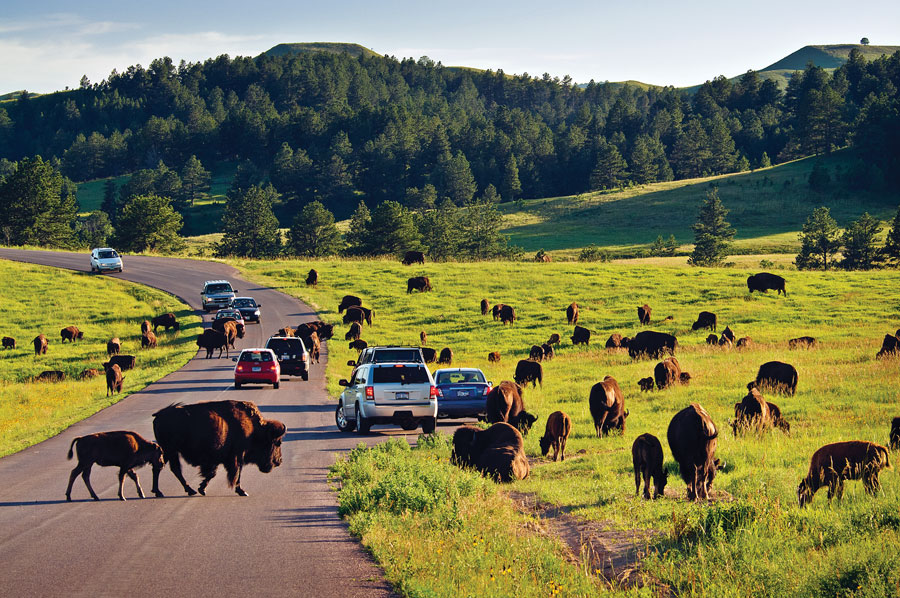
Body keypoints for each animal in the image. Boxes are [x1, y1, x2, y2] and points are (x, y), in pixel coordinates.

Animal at [151, 400, 284, 500]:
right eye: (278, 442)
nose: (279, 461)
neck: (254, 429)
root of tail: (159, 415)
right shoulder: (236, 457)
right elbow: (234, 474)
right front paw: (242, 491)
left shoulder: (221, 459)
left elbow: (213, 474)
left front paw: (202, 489)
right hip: (169, 450)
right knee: (167, 468)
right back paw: (167, 491)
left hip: (169, 451)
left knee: (167, 468)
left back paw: (180, 491)